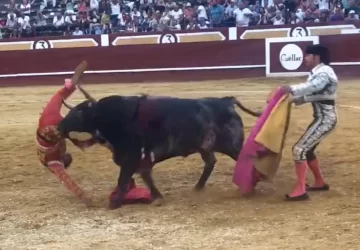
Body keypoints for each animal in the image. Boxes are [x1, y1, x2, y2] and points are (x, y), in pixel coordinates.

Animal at [59, 91, 260, 206]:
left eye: (77, 113)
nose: (59, 126)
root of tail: (226, 101)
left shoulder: (130, 157)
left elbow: (123, 180)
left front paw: (115, 203)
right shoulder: (140, 161)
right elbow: (146, 178)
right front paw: (157, 197)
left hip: (232, 146)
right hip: (205, 147)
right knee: (210, 162)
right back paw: (198, 187)